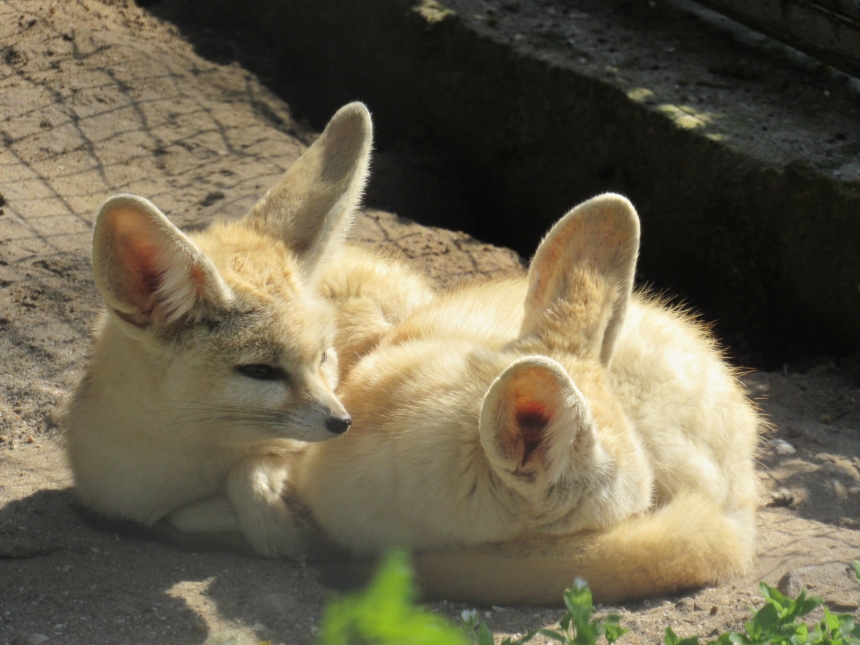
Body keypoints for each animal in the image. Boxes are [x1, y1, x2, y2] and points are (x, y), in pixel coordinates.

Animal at [63, 103, 430, 556]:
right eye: (260, 371)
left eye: (323, 357)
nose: (343, 422)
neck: (185, 465)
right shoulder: (120, 496)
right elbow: (188, 513)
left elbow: (250, 480)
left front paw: (283, 527)